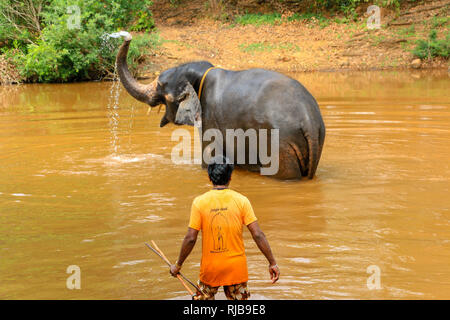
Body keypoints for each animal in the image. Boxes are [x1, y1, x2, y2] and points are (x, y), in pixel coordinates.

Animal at [114, 35, 326, 180]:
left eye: (161, 88)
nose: (127, 36)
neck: (201, 73)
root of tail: (308, 119)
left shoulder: (211, 119)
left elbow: (209, 155)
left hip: (280, 144)